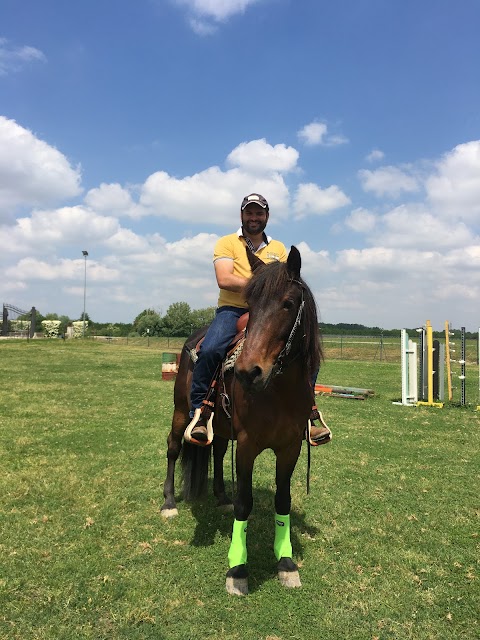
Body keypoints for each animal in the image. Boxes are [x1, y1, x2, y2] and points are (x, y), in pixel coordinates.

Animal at [161, 245, 322, 596]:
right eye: (251, 305)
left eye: (288, 304)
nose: (249, 372)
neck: (279, 391)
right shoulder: (248, 445)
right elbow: (245, 504)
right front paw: (237, 569)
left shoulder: (290, 447)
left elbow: (283, 501)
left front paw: (286, 563)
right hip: (180, 412)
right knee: (173, 448)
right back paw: (168, 503)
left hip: (221, 426)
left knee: (219, 452)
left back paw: (221, 496)